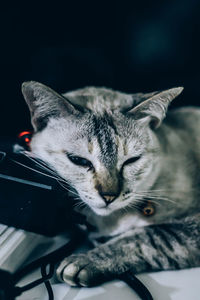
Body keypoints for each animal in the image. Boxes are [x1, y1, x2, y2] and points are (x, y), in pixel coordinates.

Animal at [20, 81, 200, 286]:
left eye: (131, 161)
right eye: (79, 160)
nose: (108, 196)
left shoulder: (190, 227)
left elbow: (146, 238)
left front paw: (84, 261)